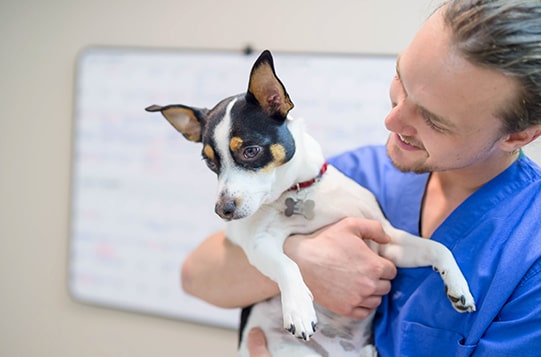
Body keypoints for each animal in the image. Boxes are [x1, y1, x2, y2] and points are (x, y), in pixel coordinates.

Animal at [146, 48, 474, 354]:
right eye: (210, 163)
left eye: (251, 151)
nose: (222, 210)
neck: (298, 190)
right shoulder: (259, 244)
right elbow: (288, 264)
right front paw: (299, 309)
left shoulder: (386, 241)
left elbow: (437, 247)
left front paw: (459, 285)